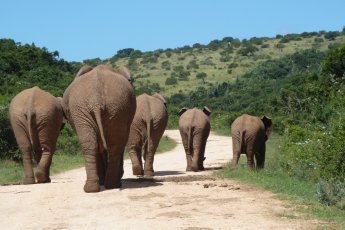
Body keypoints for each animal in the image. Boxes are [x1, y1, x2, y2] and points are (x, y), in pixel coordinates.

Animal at [62, 64, 135, 192]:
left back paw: (104, 186)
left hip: (116, 106)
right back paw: (106, 185)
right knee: (110, 144)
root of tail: (96, 102)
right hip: (103, 107)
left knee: (103, 144)